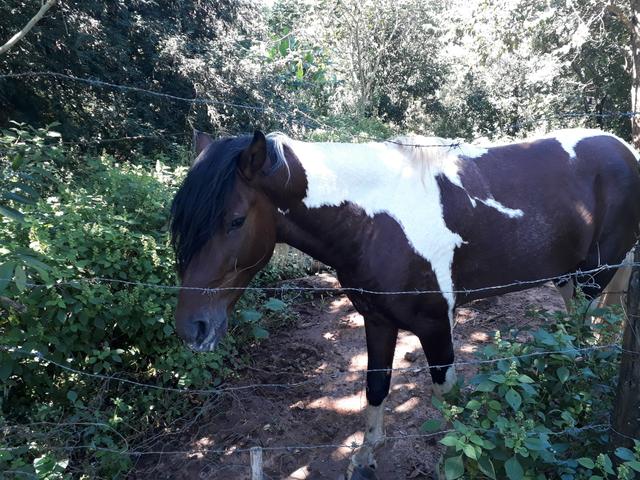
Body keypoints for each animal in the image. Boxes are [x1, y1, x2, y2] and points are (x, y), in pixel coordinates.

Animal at [170, 128, 640, 478]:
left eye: (235, 221)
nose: (192, 329)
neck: (373, 222)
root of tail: (624, 148)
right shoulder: (377, 319)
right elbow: (375, 387)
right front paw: (363, 461)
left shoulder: (435, 325)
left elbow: (452, 406)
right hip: (569, 280)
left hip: (592, 278)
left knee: (580, 341)